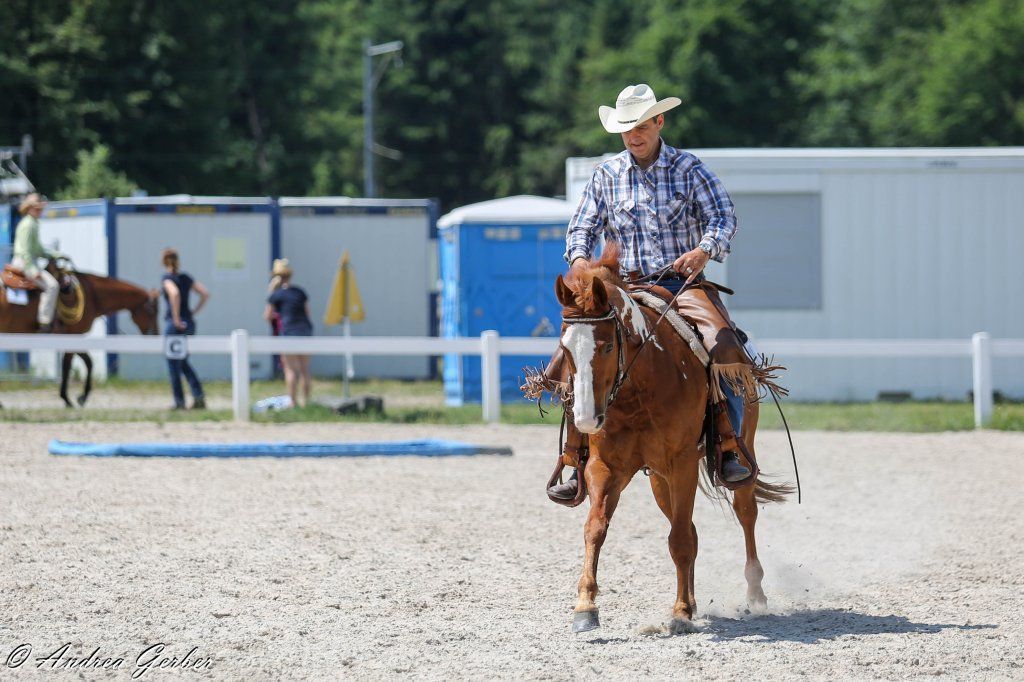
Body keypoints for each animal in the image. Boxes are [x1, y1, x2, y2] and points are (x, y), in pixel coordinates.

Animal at [0, 260, 160, 407]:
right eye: (152, 311)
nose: (155, 335)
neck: (93, 295)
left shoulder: (76, 338)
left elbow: (88, 362)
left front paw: (80, 397)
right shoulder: (73, 336)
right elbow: (69, 365)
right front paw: (70, 398)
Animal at [551, 248, 791, 635]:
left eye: (607, 345)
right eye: (565, 348)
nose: (586, 419)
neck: (639, 387)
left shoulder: (682, 463)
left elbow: (678, 540)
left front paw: (679, 613)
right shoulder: (605, 467)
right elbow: (595, 528)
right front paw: (585, 607)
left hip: (737, 454)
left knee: (744, 512)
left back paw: (755, 594)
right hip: (660, 480)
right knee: (689, 528)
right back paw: (694, 601)